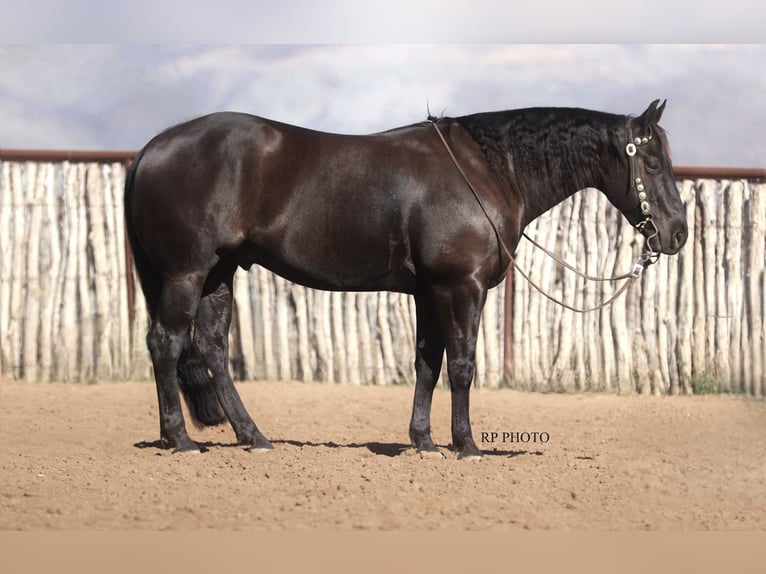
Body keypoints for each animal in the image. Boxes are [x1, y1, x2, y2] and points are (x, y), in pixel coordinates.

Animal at [124, 99, 687, 459]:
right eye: (651, 162)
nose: (678, 233)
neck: (485, 171)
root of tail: (151, 149)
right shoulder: (461, 288)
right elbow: (462, 365)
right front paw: (466, 445)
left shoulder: (429, 292)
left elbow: (427, 365)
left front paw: (424, 441)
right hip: (186, 273)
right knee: (166, 343)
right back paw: (180, 440)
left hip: (218, 274)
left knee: (214, 349)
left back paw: (253, 437)